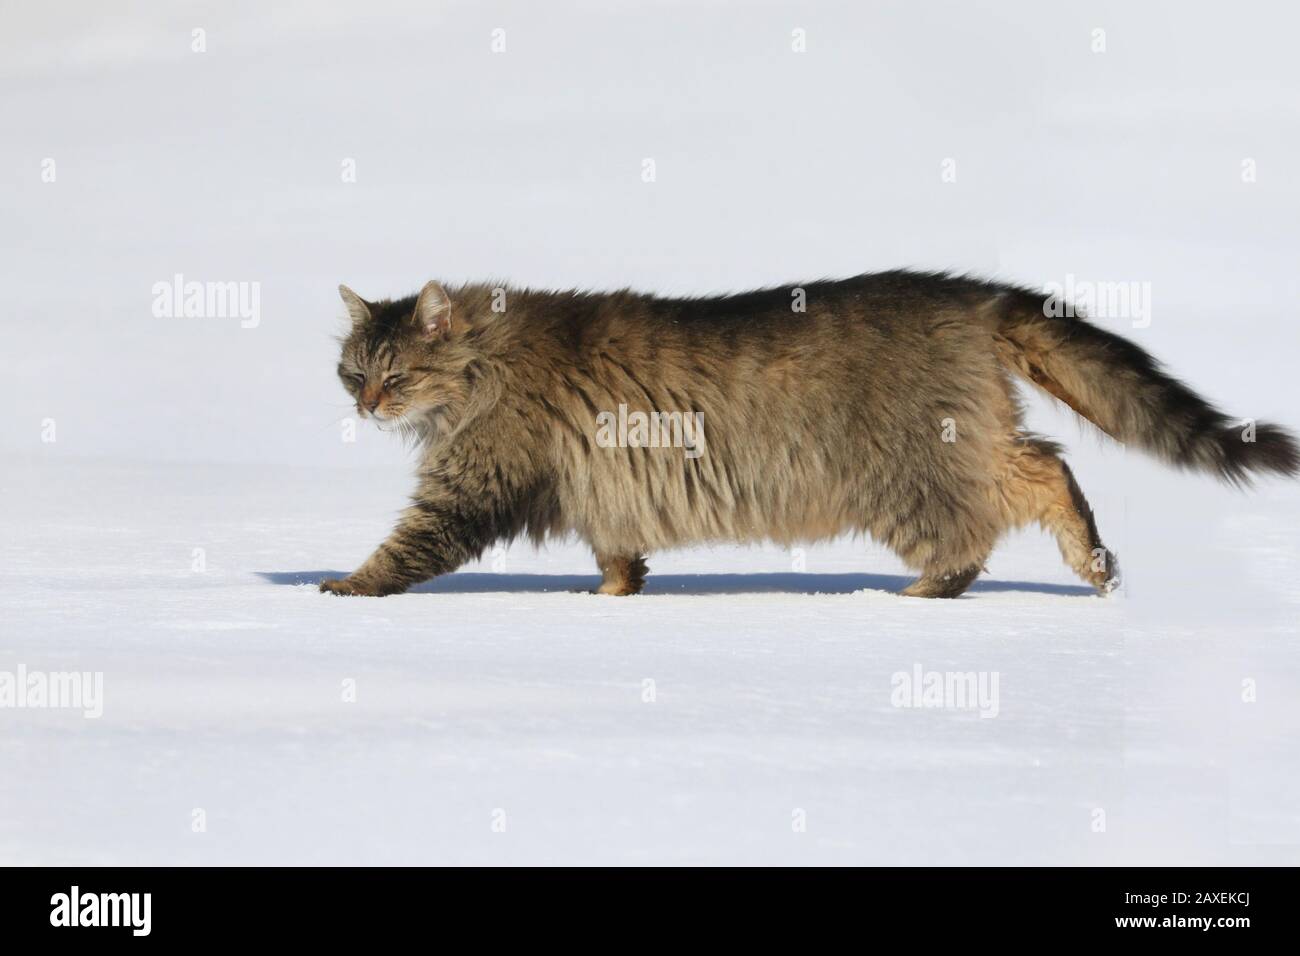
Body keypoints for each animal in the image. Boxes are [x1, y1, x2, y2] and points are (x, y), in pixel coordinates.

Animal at [319, 269, 1294, 598]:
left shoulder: (478, 475)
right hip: (962, 439)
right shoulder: (605, 489)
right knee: (1041, 464)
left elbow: (409, 544)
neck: (484, 361)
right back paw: (1092, 562)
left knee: (998, 509)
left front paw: (346, 587)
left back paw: (931, 591)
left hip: (911, 465)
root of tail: (971, 295)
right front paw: (613, 597)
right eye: (351, 372)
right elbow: (619, 557)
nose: (364, 407)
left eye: (393, 375)